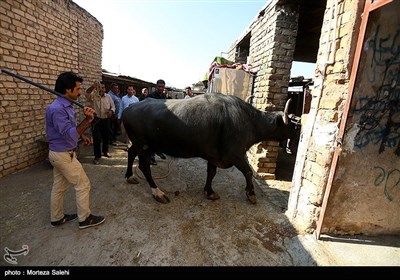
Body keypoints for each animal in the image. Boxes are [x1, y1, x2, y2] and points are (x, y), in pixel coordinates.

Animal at [122, 92, 290, 203]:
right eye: (291, 125)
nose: (289, 140)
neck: (248, 120)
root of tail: (128, 109)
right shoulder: (234, 154)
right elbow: (248, 172)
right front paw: (251, 194)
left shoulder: (213, 155)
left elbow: (211, 172)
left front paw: (209, 192)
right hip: (144, 146)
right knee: (144, 166)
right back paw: (158, 193)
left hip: (138, 144)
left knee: (131, 153)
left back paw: (129, 176)